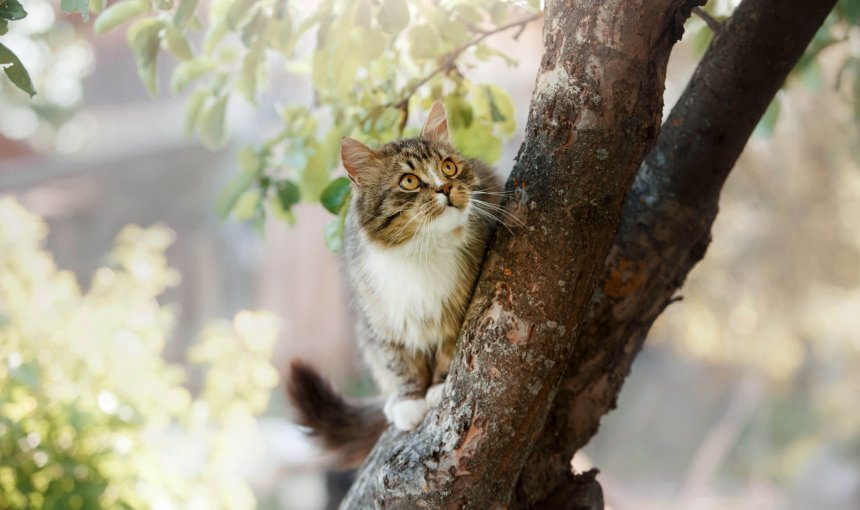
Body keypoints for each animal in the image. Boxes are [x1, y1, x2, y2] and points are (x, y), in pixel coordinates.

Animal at [288, 100, 504, 466]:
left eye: (448, 167)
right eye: (409, 181)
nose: (446, 188)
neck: (421, 250)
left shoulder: (461, 307)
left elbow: (449, 350)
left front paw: (437, 388)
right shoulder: (383, 320)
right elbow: (401, 364)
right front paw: (410, 400)